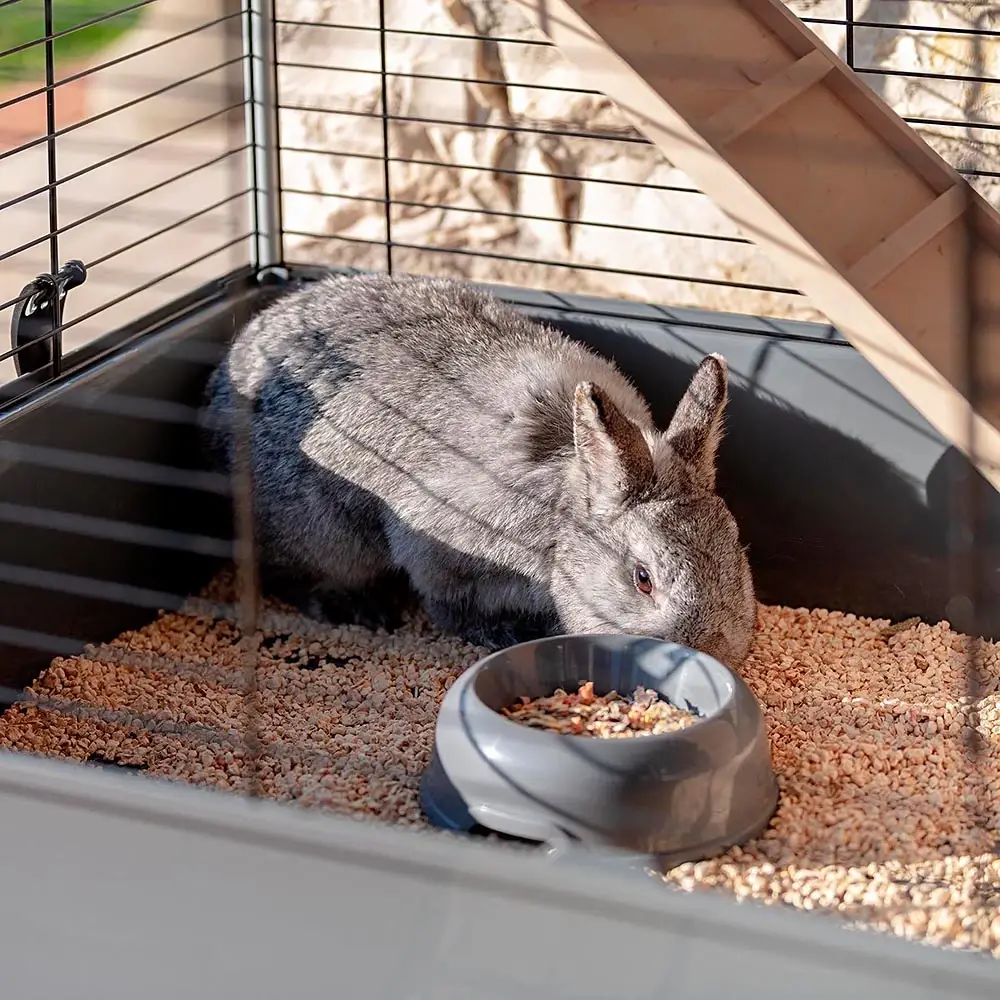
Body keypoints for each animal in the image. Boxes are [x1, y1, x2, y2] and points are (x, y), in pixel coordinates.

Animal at [202, 272, 756, 667]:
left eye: (736, 548)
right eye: (642, 579)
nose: (712, 651)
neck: (559, 520)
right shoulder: (442, 558)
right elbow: (451, 611)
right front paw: (505, 635)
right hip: (324, 535)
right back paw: (359, 609)